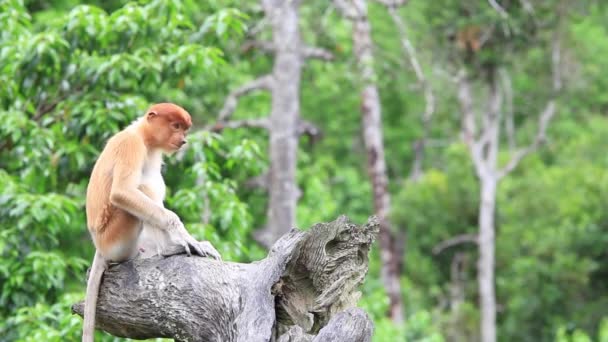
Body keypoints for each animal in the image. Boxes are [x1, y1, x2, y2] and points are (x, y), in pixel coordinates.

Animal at [82, 103, 221, 340]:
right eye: (176, 126)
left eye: (184, 129)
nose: (183, 140)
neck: (144, 136)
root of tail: (99, 246)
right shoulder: (131, 146)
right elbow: (122, 192)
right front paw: (186, 238)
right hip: (117, 238)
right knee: (142, 186)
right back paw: (168, 249)